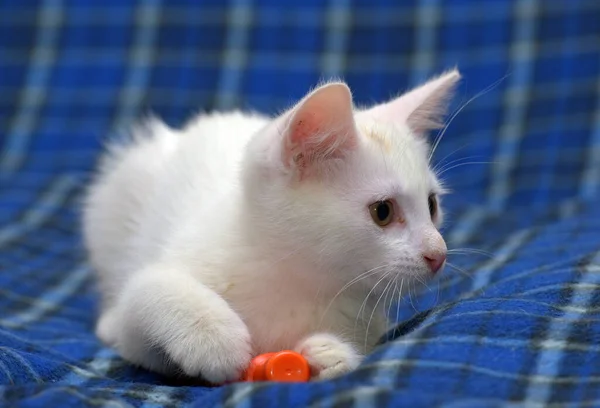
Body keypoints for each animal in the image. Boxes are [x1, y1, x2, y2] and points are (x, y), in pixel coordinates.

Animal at [83, 69, 460, 382]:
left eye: (432, 205)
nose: (438, 253)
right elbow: (149, 293)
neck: (293, 278)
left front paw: (329, 353)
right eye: (383, 211)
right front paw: (213, 339)